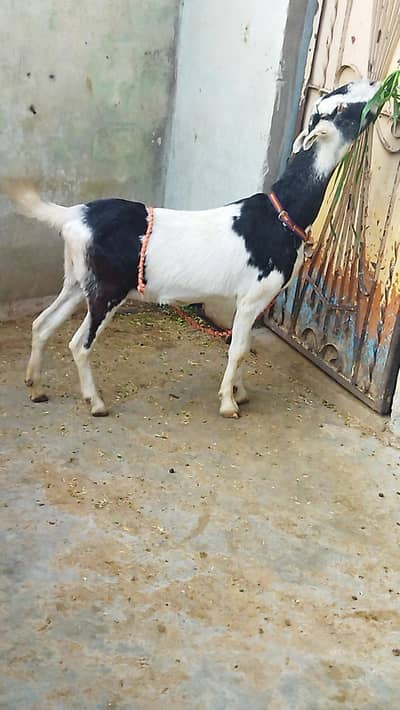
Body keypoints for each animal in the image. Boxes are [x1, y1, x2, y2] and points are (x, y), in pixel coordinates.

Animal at [4, 79, 379, 418]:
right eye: (340, 108)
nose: (377, 85)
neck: (282, 213)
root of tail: (74, 215)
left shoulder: (250, 301)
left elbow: (243, 345)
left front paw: (240, 392)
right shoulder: (253, 296)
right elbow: (239, 349)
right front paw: (229, 403)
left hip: (77, 280)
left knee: (42, 324)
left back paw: (36, 387)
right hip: (107, 290)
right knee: (78, 344)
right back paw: (95, 403)